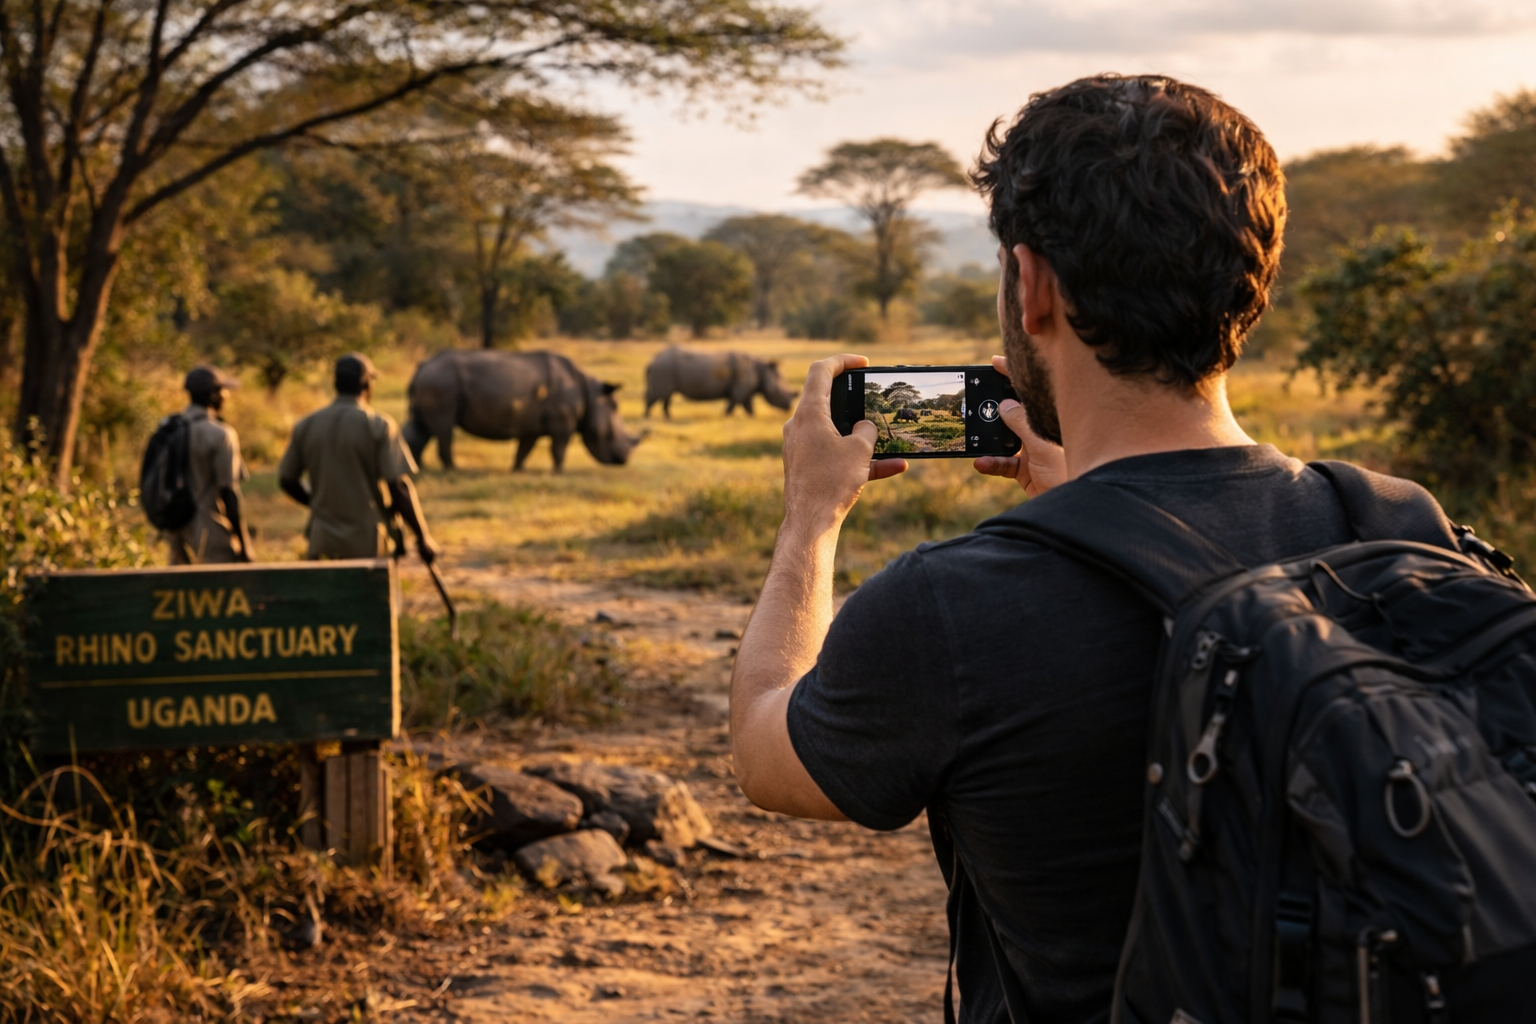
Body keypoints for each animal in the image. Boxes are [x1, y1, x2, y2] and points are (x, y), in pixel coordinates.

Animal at [404, 350, 640, 472]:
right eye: (612, 435)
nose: (624, 461)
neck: (591, 394)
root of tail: (422, 367)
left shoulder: (532, 423)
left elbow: (524, 448)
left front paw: (517, 469)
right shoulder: (562, 423)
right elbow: (559, 448)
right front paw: (559, 472)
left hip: (433, 380)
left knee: (421, 427)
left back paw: (418, 468)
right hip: (441, 382)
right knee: (444, 429)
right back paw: (453, 469)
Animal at [643, 345, 795, 418]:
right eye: (781, 390)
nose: (789, 407)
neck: (762, 368)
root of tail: (653, 360)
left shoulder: (745, 390)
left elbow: (749, 407)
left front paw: (752, 418)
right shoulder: (740, 390)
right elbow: (732, 405)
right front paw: (725, 417)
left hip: (662, 368)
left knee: (663, 396)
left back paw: (663, 418)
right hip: (664, 368)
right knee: (661, 395)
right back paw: (651, 417)